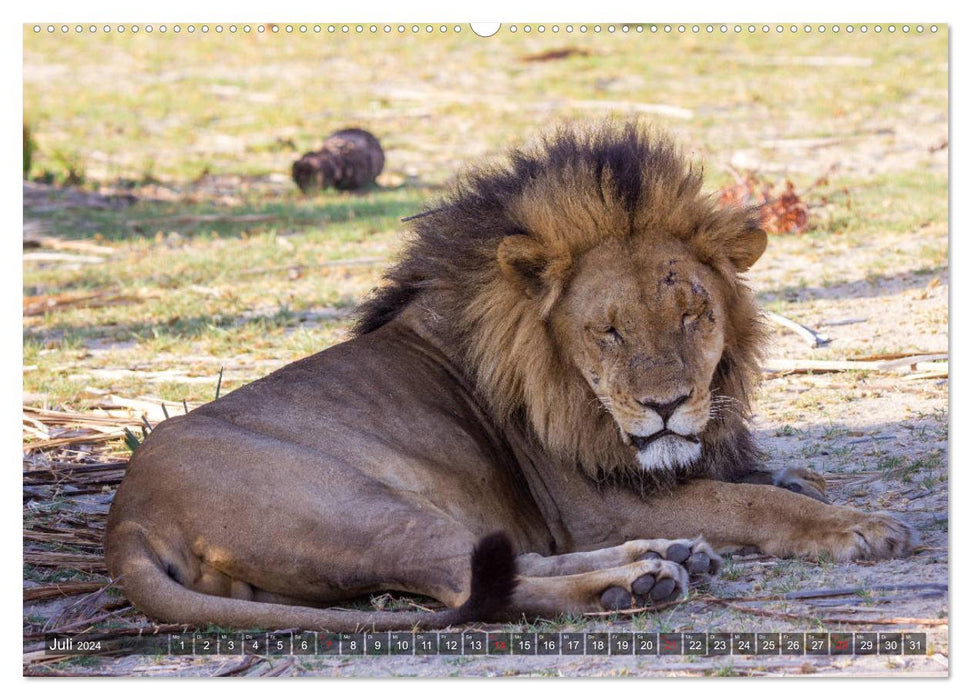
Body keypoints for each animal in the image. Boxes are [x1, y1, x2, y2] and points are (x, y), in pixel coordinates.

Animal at [106, 120, 912, 628]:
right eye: (607, 331)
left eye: (692, 314)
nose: (666, 405)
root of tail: (126, 519)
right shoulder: (593, 502)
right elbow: (745, 503)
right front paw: (856, 526)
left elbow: (753, 482)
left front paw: (788, 480)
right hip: (358, 507)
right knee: (469, 583)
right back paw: (635, 582)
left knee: (504, 563)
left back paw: (664, 556)